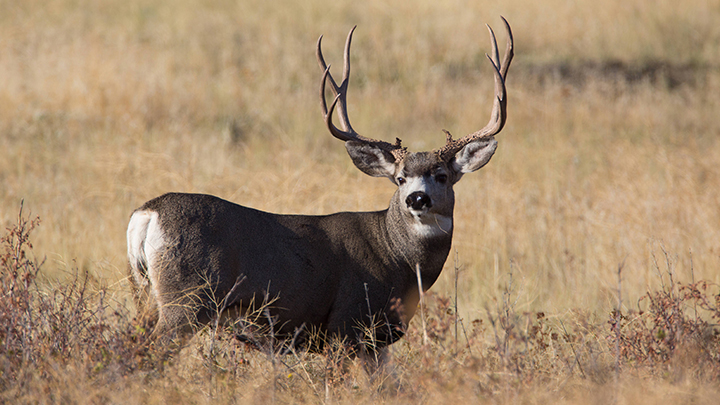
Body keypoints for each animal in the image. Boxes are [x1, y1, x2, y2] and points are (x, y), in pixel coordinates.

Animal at [128, 17, 512, 356]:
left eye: (442, 175)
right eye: (400, 178)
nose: (417, 198)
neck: (397, 259)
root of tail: (147, 214)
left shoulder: (377, 343)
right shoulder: (348, 323)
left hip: (143, 294)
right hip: (186, 299)